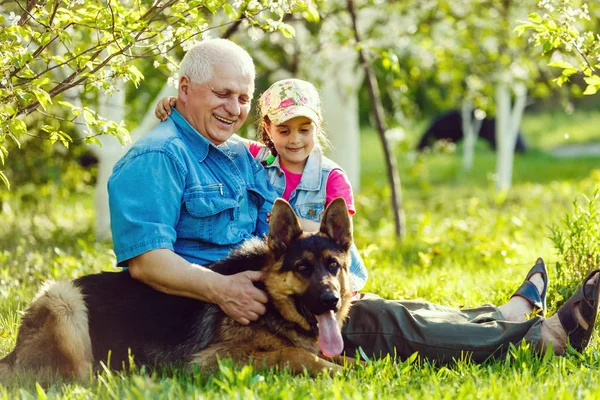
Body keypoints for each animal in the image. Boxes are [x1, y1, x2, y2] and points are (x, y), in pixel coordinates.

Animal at [0, 198, 354, 382]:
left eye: (333, 266)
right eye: (302, 268)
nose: (331, 301)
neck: (270, 301)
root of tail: (13, 356)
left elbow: (343, 355)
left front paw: (357, 365)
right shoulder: (214, 361)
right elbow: (294, 353)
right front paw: (335, 371)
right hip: (64, 301)